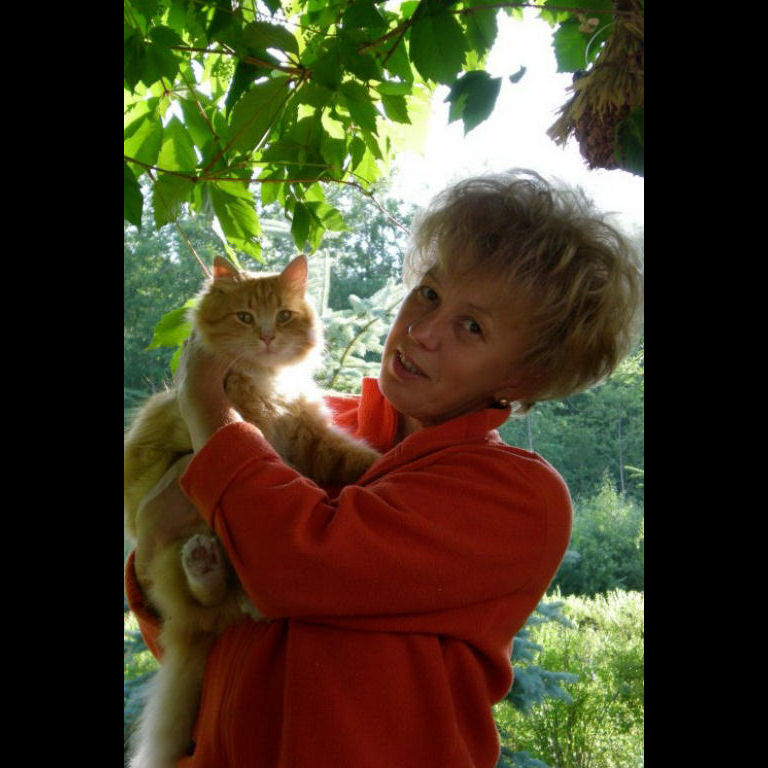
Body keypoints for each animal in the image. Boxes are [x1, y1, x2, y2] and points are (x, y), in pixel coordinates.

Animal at [124, 254, 380, 768]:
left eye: (282, 316)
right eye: (244, 317)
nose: (265, 336)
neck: (269, 384)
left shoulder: (309, 432)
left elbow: (348, 457)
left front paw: (383, 462)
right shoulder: (256, 434)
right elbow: (287, 476)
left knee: (218, 605)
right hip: (183, 542)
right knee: (209, 600)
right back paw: (211, 572)